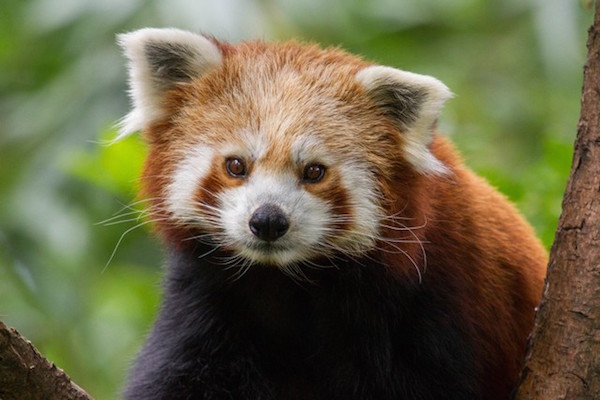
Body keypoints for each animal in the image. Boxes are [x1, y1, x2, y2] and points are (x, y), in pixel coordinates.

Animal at [118, 26, 548, 398]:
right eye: (236, 165)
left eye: (314, 172)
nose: (268, 220)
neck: (289, 282)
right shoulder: (208, 296)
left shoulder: (433, 299)